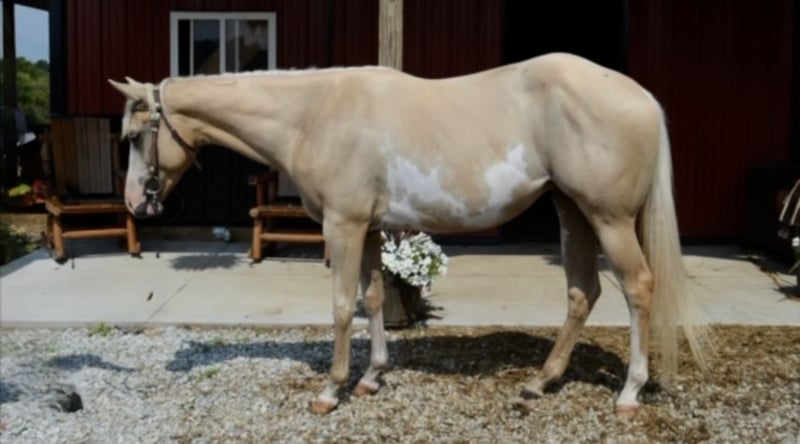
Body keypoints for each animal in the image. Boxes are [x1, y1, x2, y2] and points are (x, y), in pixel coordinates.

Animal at [109, 52, 710, 417]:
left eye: (136, 135)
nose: (137, 202)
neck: (313, 115)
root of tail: (641, 97)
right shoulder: (370, 229)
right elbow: (374, 298)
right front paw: (372, 378)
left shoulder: (344, 226)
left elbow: (340, 308)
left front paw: (331, 391)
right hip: (574, 212)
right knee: (584, 292)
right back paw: (541, 381)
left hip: (609, 219)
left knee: (638, 288)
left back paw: (629, 393)